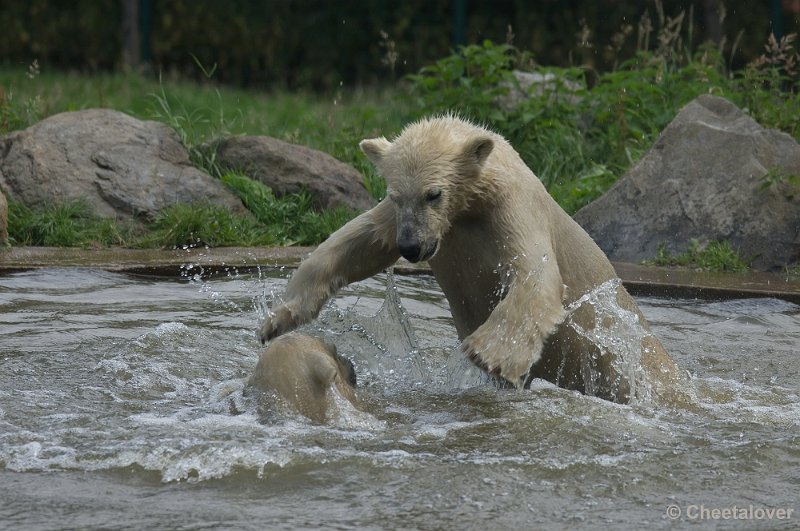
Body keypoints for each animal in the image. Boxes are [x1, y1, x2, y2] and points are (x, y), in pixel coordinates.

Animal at [260, 113, 680, 404]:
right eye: (396, 195)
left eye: (434, 194)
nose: (411, 247)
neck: (474, 200)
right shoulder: (413, 221)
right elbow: (360, 242)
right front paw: (277, 319)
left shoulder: (511, 207)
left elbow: (537, 275)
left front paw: (487, 354)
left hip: (618, 355)